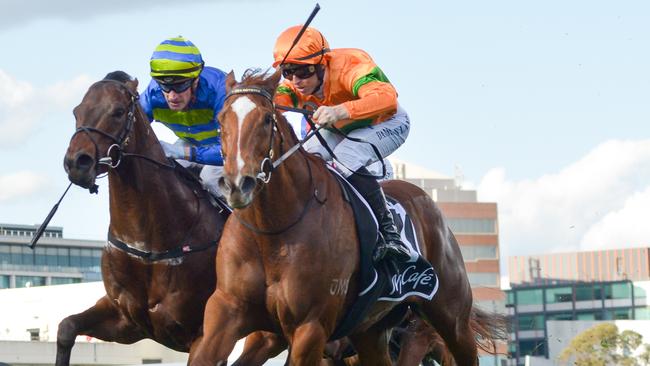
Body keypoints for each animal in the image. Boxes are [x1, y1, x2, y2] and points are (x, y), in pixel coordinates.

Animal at [187, 69, 492, 366]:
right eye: (220, 120)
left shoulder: (310, 328)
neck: (271, 232)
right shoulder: (229, 312)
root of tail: (428, 201)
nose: (238, 184)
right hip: (372, 330)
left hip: (449, 316)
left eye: (266, 119)